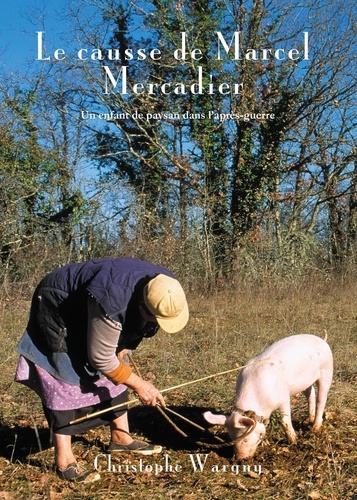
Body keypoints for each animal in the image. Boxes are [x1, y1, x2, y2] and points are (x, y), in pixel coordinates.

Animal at [204, 334, 332, 458]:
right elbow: (265, 423)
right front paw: (266, 443)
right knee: (311, 394)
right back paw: (309, 419)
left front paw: (293, 442)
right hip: (306, 382)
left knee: (321, 400)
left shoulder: (284, 399)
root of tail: (322, 340)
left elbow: (285, 421)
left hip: (327, 372)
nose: (240, 459)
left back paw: (315, 429)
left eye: (245, 439)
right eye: (231, 438)